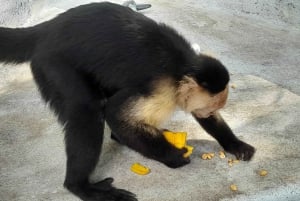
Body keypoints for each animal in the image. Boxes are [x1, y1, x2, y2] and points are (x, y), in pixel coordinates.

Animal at [0, 1, 255, 201]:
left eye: (211, 111)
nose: (206, 114)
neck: (181, 67)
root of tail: (48, 28)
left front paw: (234, 144)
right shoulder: (162, 88)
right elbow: (115, 114)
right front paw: (173, 156)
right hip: (52, 63)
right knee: (88, 111)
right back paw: (79, 186)